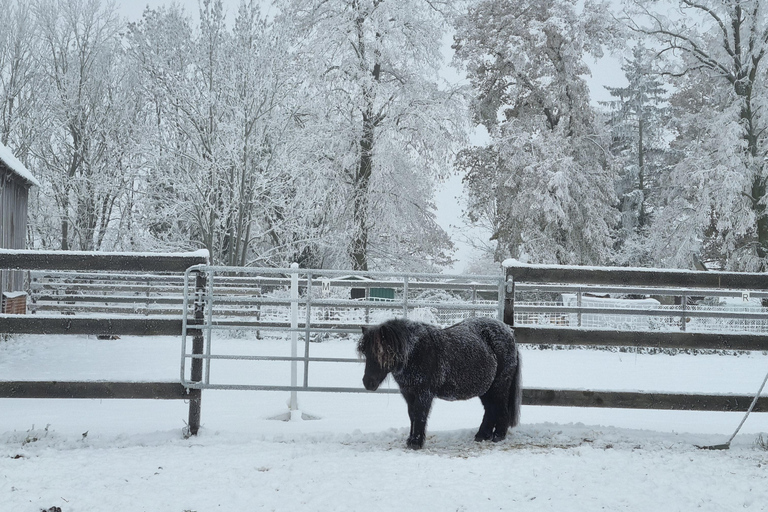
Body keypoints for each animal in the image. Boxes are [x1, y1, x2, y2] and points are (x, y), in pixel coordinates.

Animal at [357, 316, 522, 449]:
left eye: (382, 352)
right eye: (365, 352)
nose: (368, 383)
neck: (416, 352)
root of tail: (509, 332)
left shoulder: (424, 393)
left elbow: (420, 414)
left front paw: (416, 443)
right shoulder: (409, 393)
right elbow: (412, 415)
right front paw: (410, 440)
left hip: (499, 386)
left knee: (500, 409)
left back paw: (498, 436)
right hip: (487, 389)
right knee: (490, 410)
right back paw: (482, 435)